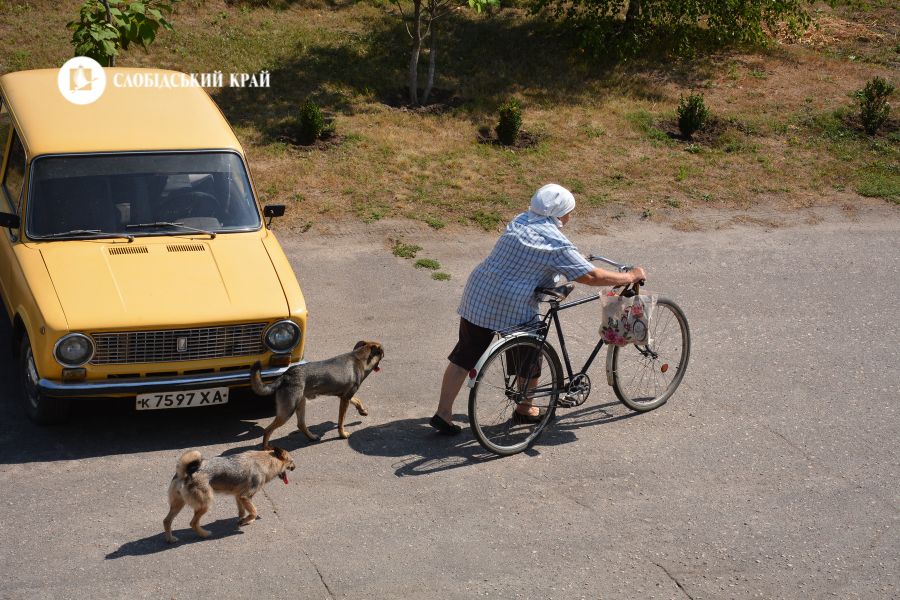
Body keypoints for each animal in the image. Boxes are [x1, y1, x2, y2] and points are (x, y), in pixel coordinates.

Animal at [162, 446, 296, 544]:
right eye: (291, 461)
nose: (294, 467)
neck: (267, 461)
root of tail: (186, 472)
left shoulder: (238, 496)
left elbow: (243, 511)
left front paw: (244, 520)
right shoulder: (245, 496)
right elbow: (254, 511)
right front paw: (246, 520)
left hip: (178, 504)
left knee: (166, 521)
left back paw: (170, 539)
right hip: (205, 504)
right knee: (193, 523)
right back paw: (205, 534)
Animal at [250, 340, 384, 448]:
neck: (359, 357)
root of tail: (285, 375)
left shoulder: (345, 396)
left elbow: (357, 400)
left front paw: (362, 411)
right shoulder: (345, 399)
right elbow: (341, 421)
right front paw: (342, 434)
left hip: (300, 403)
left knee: (301, 424)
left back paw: (312, 437)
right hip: (287, 410)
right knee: (268, 430)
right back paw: (266, 448)